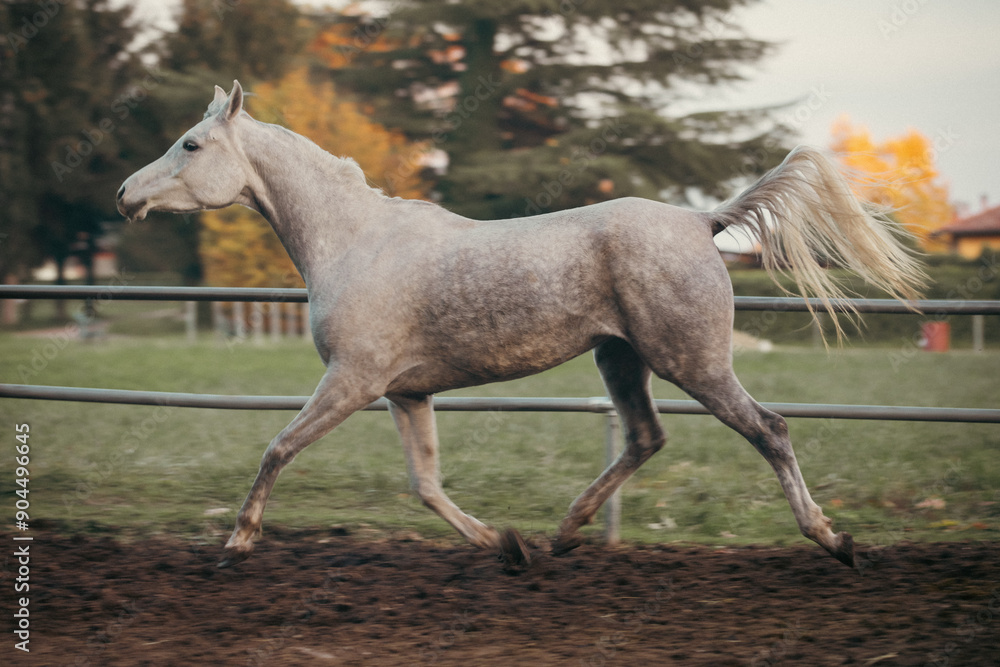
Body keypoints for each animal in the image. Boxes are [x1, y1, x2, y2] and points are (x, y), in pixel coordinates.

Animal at [117, 81, 924, 569]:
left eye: (191, 145)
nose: (125, 194)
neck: (352, 240)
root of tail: (702, 220)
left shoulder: (352, 381)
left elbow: (278, 447)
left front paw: (237, 540)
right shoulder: (405, 393)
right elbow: (425, 483)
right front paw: (504, 543)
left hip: (693, 361)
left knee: (770, 429)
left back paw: (833, 538)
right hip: (620, 359)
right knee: (645, 437)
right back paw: (562, 533)